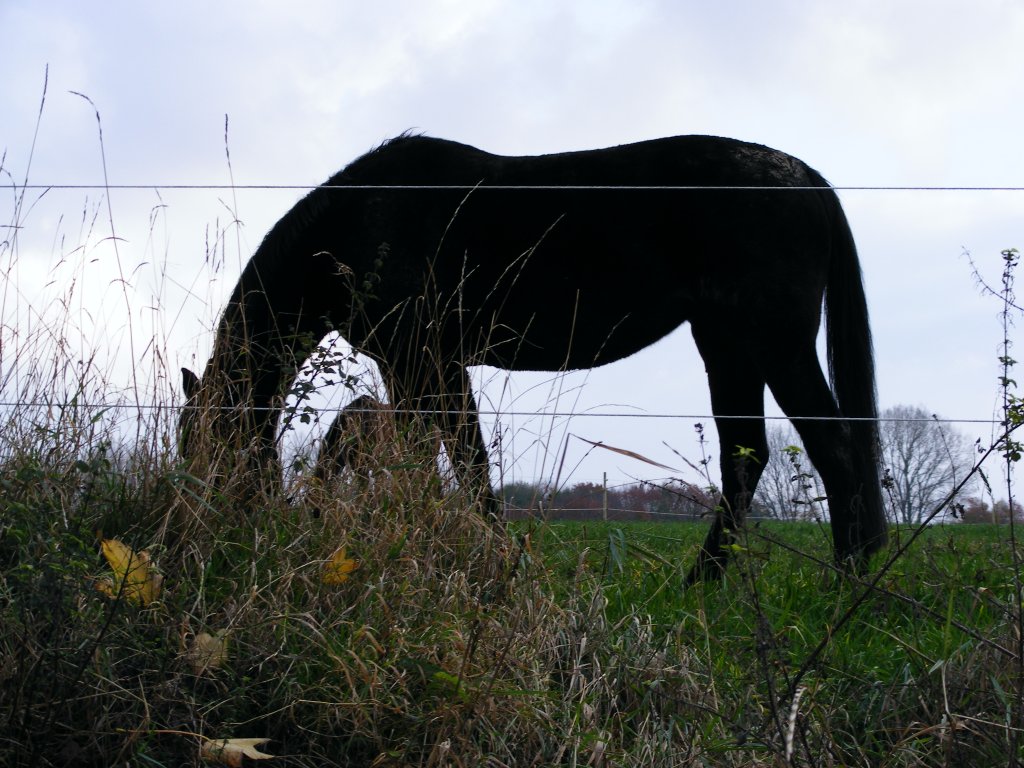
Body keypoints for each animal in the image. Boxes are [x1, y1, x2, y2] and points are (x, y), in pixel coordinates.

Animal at [180, 132, 884, 581]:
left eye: (202, 442)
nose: (204, 526)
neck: (364, 220)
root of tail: (808, 180)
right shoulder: (412, 367)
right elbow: (425, 460)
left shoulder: (426, 359)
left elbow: (462, 461)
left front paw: (495, 562)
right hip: (727, 341)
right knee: (749, 457)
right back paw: (703, 585)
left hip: (774, 341)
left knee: (834, 450)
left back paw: (843, 587)